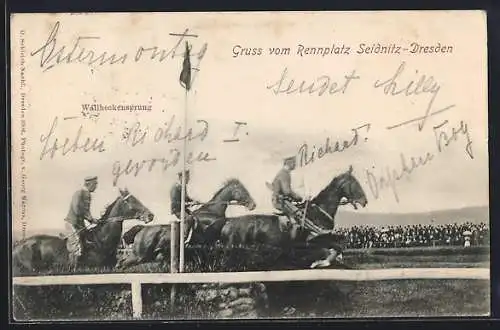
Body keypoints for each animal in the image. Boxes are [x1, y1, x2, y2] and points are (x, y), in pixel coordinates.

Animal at [118, 178, 256, 268]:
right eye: (242, 190)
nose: (253, 205)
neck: (212, 210)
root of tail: (142, 229)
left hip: (150, 255)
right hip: (139, 254)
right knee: (122, 263)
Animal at [219, 165, 368, 266]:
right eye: (355, 184)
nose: (365, 201)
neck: (319, 212)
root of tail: (228, 223)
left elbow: (339, 244)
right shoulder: (313, 239)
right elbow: (338, 245)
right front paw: (321, 262)